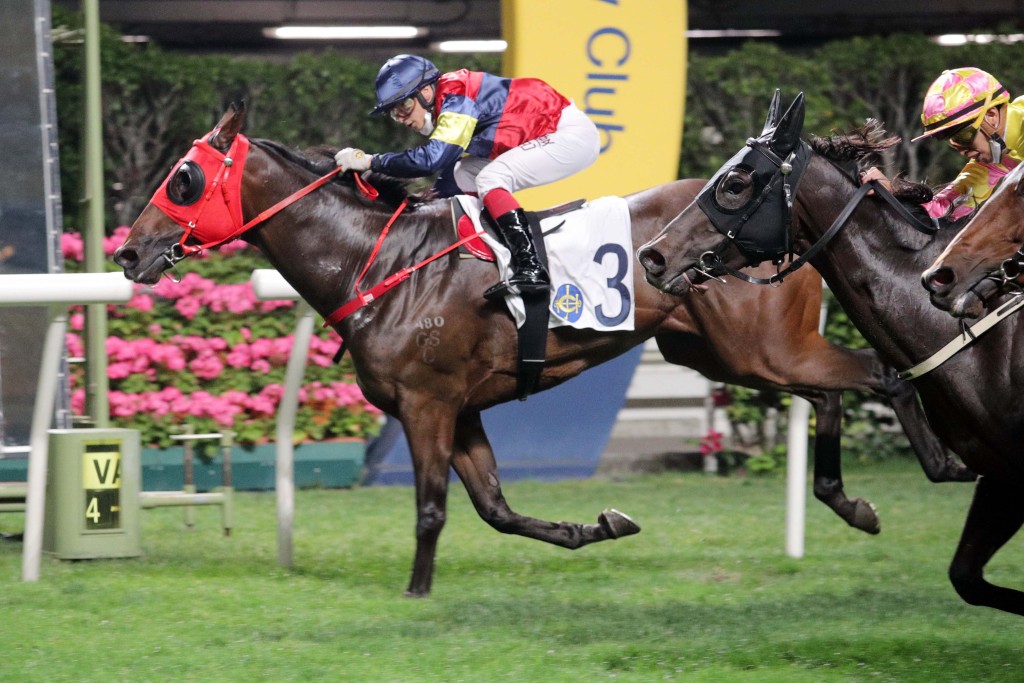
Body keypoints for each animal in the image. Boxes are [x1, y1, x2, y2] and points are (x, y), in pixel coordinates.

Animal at [116, 102, 962, 598]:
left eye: (183, 177)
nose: (128, 252)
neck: (378, 261)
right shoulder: (458, 409)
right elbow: (496, 509)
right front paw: (600, 526)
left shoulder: (427, 404)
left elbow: (432, 508)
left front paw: (415, 593)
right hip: (731, 355)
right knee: (830, 392)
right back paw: (848, 499)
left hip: (765, 347)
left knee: (880, 372)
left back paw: (941, 463)